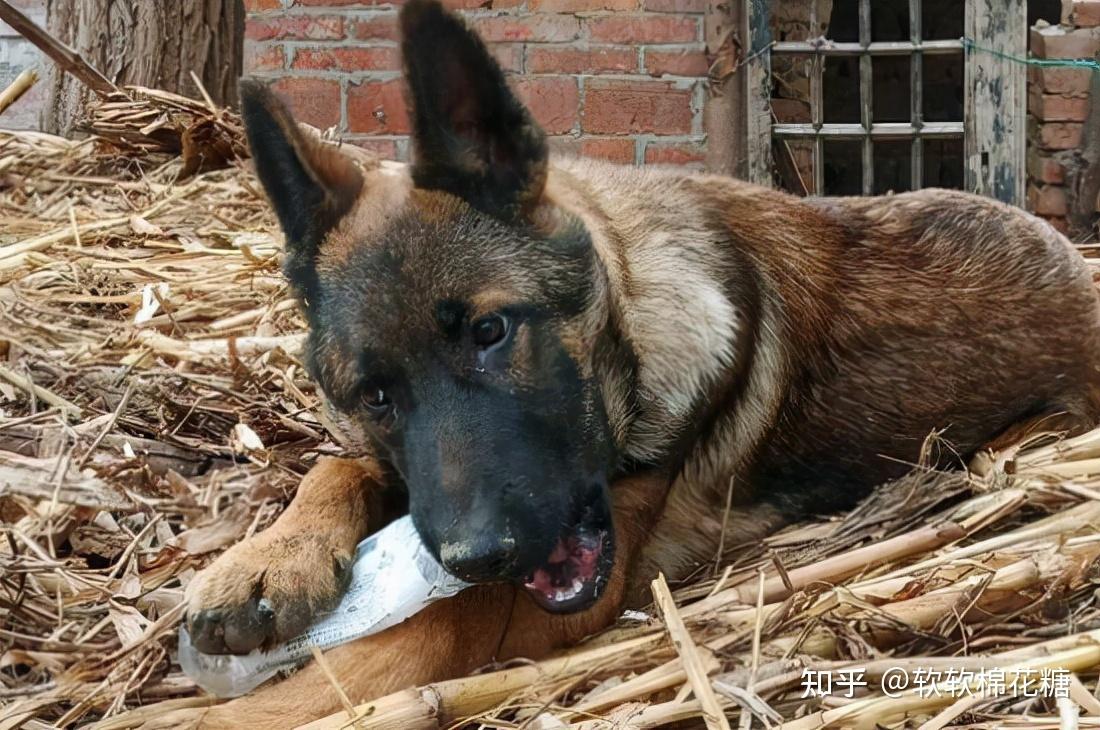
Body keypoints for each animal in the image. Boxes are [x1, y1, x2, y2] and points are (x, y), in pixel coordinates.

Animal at [152, 2, 1100, 725]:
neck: (635, 330)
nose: (473, 556)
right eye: (375, 394)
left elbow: (399, 646)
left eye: (493, 332)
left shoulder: (535, 603)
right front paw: (266, 557)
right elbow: (336, 467)